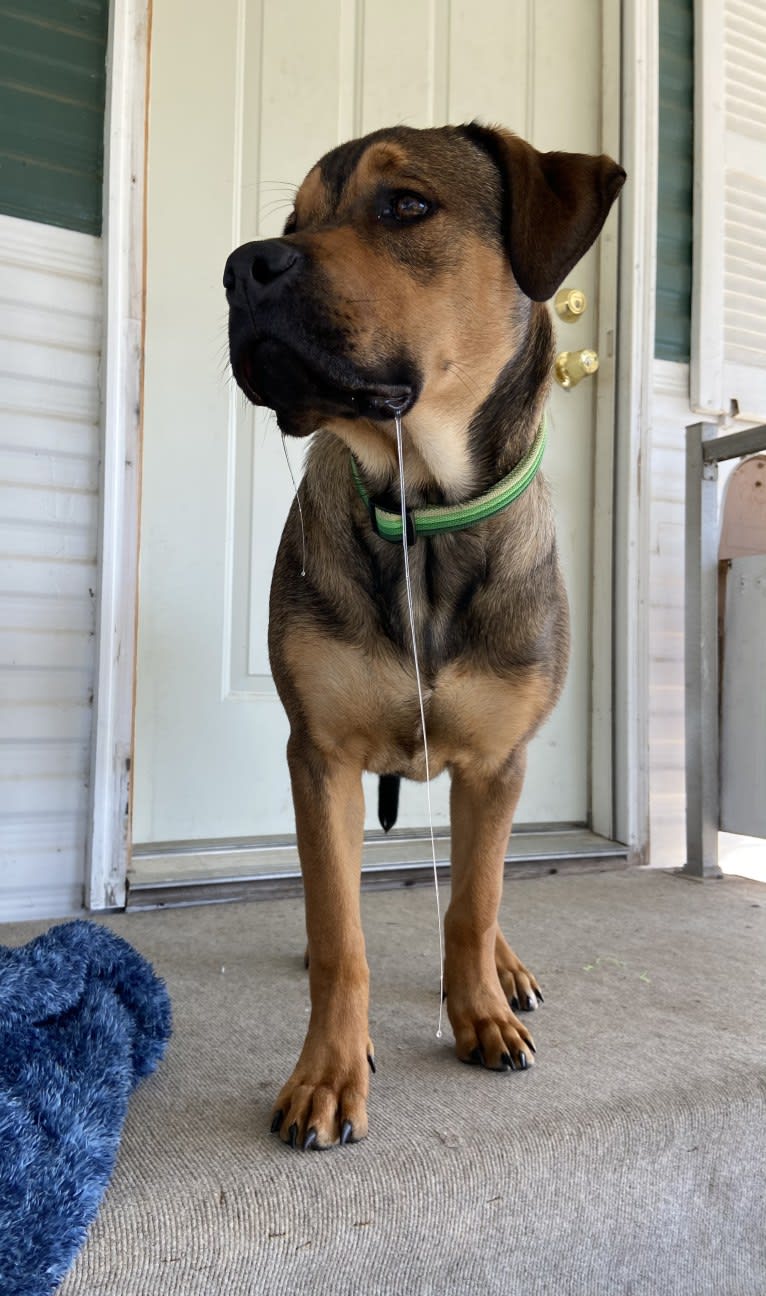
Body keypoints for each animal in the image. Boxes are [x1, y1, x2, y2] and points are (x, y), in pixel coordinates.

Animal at [224, 126, 627, 1150]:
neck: (423, 511)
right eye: (297, 219)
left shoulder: (497, 763)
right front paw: (328, 1074)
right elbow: (342, 936)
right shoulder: (319, 754)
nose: (242, 269)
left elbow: (474, 905)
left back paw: (504, 973)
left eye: (405, 206)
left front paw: (478, 1009)